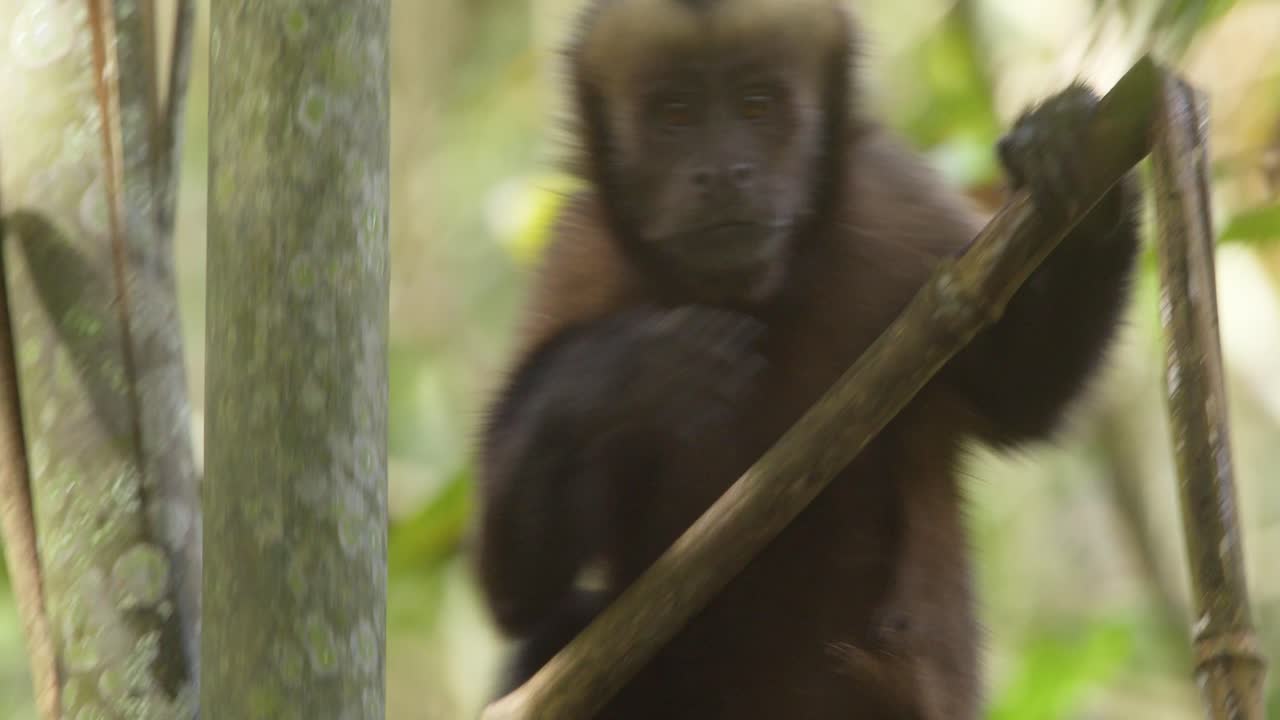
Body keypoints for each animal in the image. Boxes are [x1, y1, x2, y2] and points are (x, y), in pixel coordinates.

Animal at [472, 0, 1141, 717]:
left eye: (756, 105)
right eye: (675, 114)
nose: (724, 174)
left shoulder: (897, 206)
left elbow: (1019, 394)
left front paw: (1076, 163)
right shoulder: (578, 258)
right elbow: (516, 590)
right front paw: (624, 371)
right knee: (551, 636)